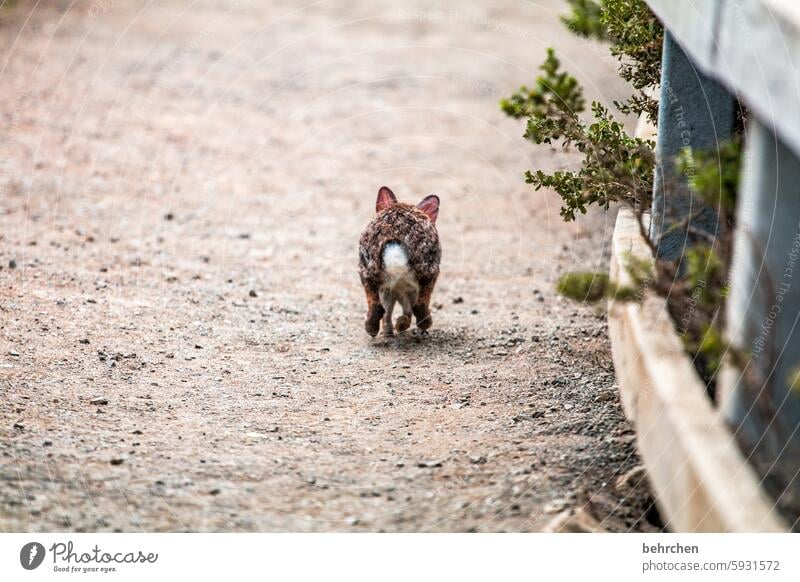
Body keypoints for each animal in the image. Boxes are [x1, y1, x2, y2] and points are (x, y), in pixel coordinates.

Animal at [360, 185, 440, 336]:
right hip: (428, 273)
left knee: (379, 307)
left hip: (369, 273)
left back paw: (378, 330)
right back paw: (420, 324)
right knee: (418, 306)